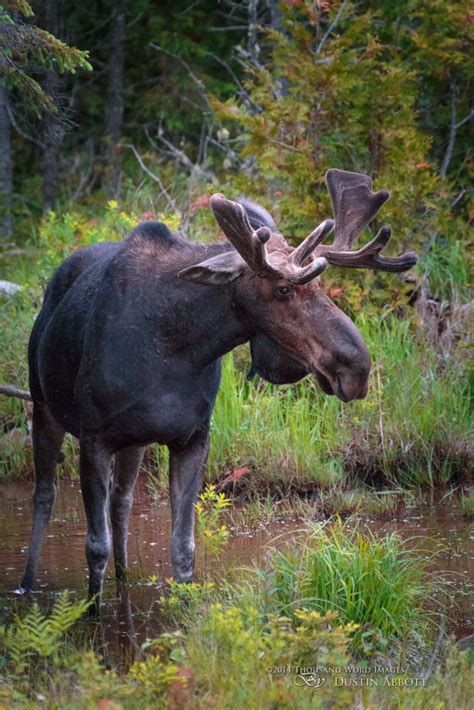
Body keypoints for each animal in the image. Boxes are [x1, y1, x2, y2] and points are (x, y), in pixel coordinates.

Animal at [20, 168, 416, 612]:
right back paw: (27, 584)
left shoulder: (193, 437)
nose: (357, 367)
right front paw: (92, 613)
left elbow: (183, 548)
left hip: (133, 442)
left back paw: (123, 583)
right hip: (43, 406)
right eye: (283, 289)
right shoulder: (94, 438)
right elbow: (94, 546)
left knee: (121, 504)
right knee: (45, 496)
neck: (176, 349)